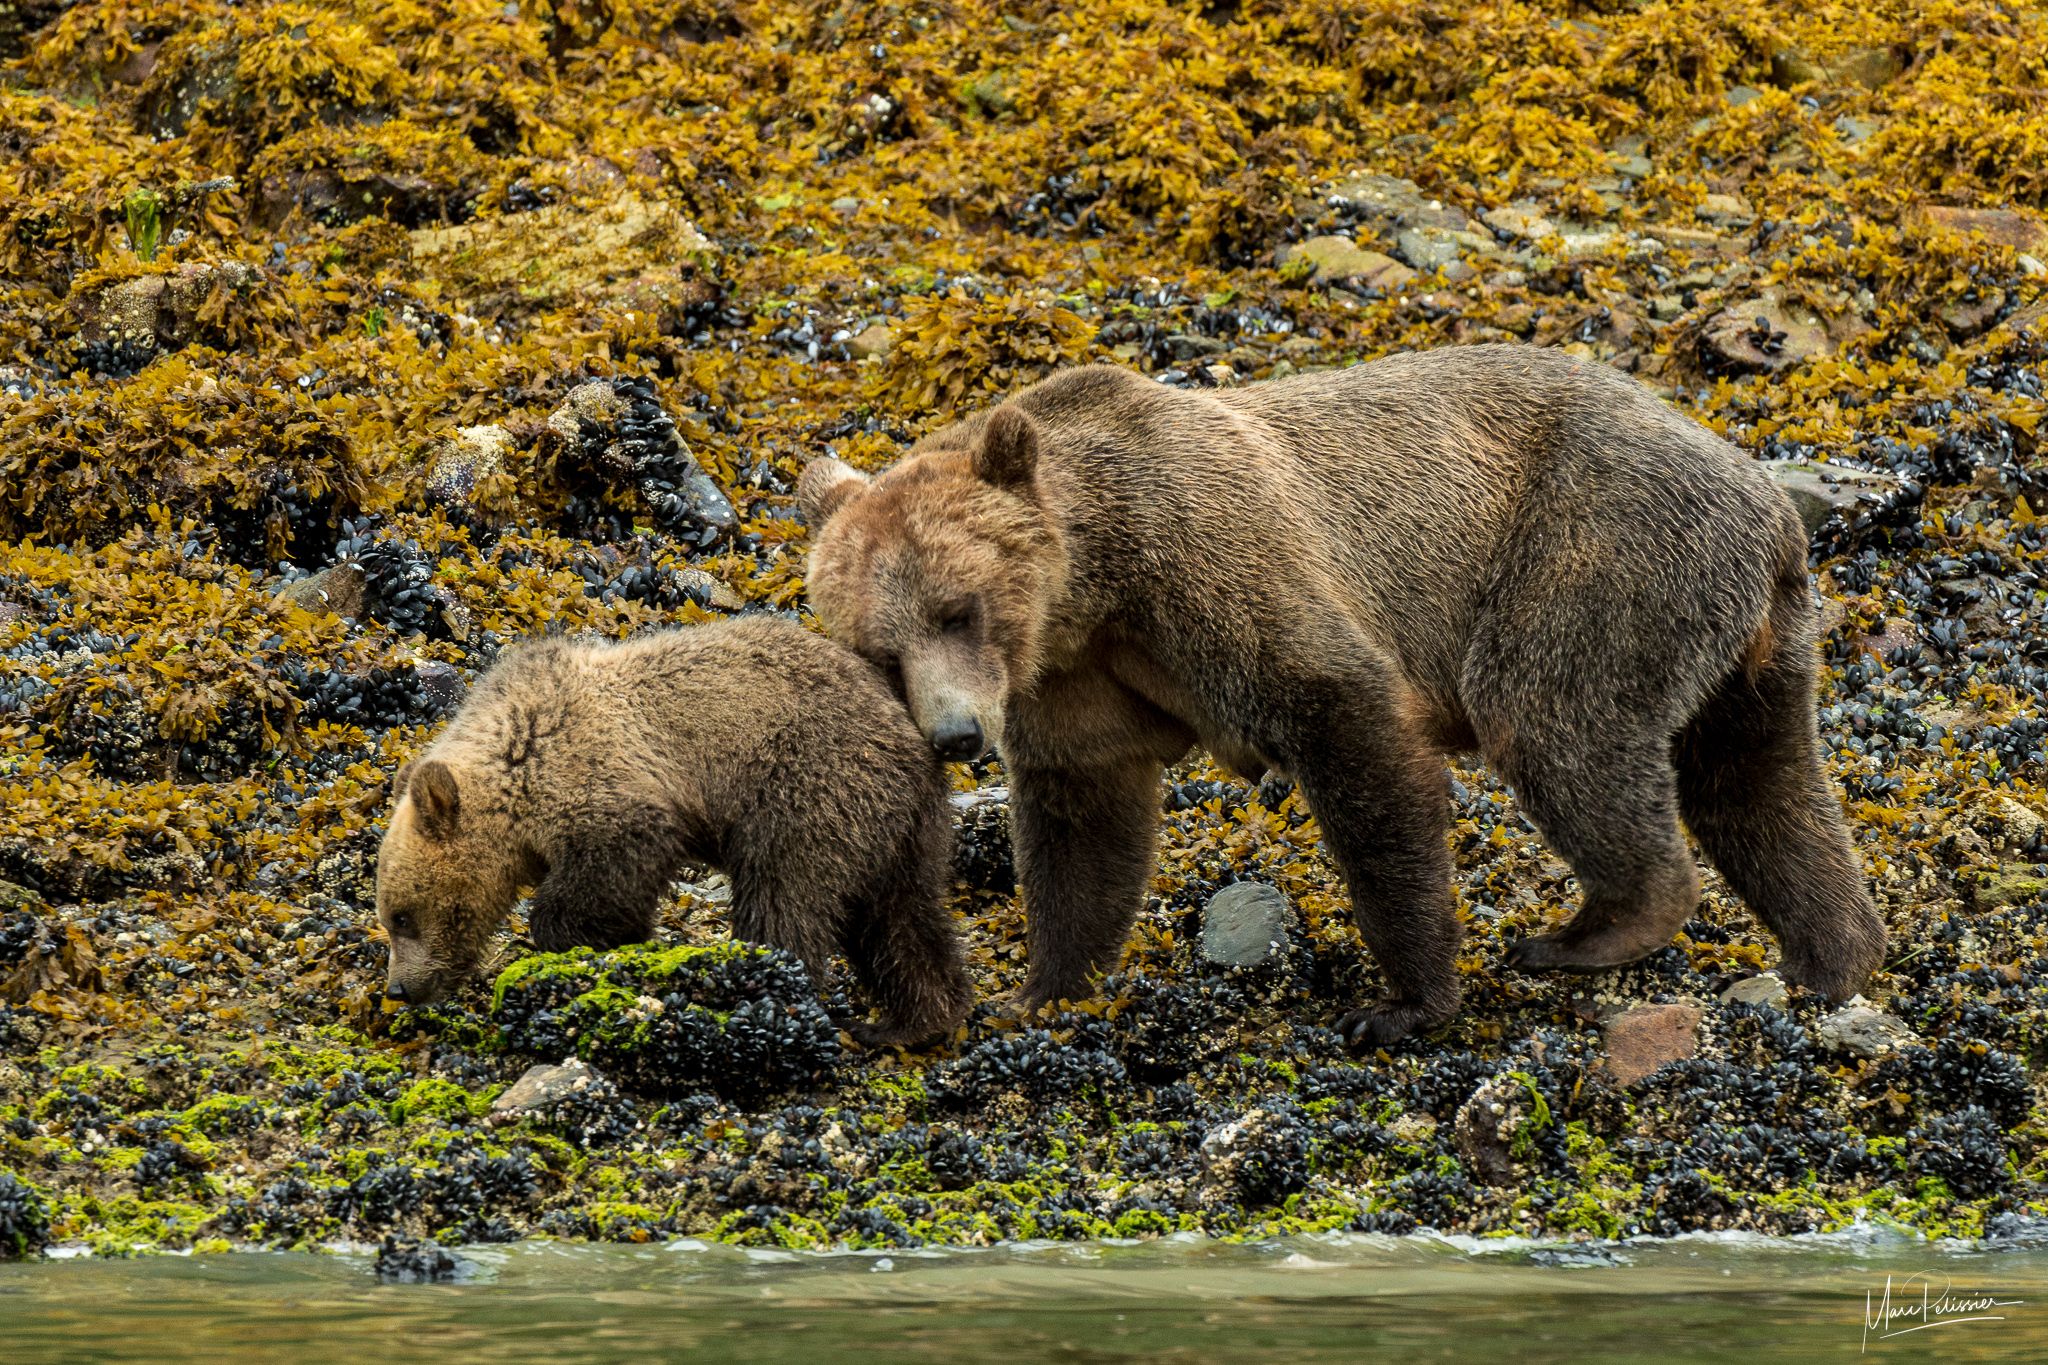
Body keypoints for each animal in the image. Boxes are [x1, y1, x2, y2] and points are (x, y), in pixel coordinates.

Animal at [373, 616, 973, 1047]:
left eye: (401, 916)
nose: (399, 987)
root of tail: (909, 740)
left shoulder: (601, 775)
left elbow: (615, 864)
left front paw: (588, 938)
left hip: (809, 786)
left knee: (785, 895)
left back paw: (764, 982)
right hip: (899, 829)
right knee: (899, 920)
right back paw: (911, 1022)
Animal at [798, 342, 1888, 1049]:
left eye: (958, 607)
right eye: (879, 648)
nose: (952, 734)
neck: (1092, 585)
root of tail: (1763, 496)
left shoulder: (1213, 569)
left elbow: (1352, 732)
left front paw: (1401, 1003)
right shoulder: (1072, 684)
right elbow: (1083, 830)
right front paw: (1035, 992)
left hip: (1593, 550)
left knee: (1553, 719)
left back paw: (1589, 932)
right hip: (1747, 635)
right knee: (1756, 780)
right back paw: (1830, 957)